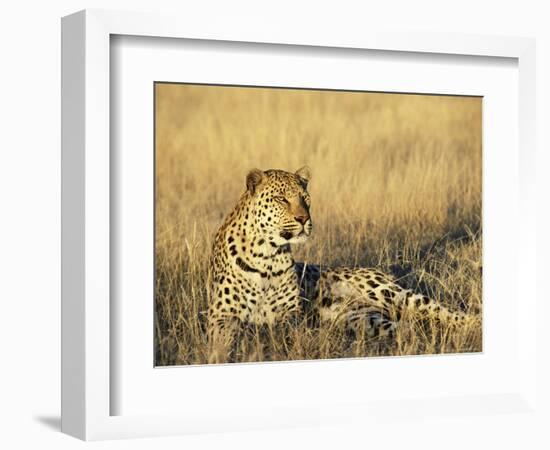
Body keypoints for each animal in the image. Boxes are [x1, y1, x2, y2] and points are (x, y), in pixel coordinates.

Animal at [209, 167, 476, 364]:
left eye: (305, 200)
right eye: (281, 199)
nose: (303, 219)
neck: (268, 254)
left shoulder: (291, 315)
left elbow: (278, 329)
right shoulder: (220, 316)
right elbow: (232, 333)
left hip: (391, 294)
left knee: (441, 310)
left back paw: (473, 324)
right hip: (364, 318)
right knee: (407, 327)